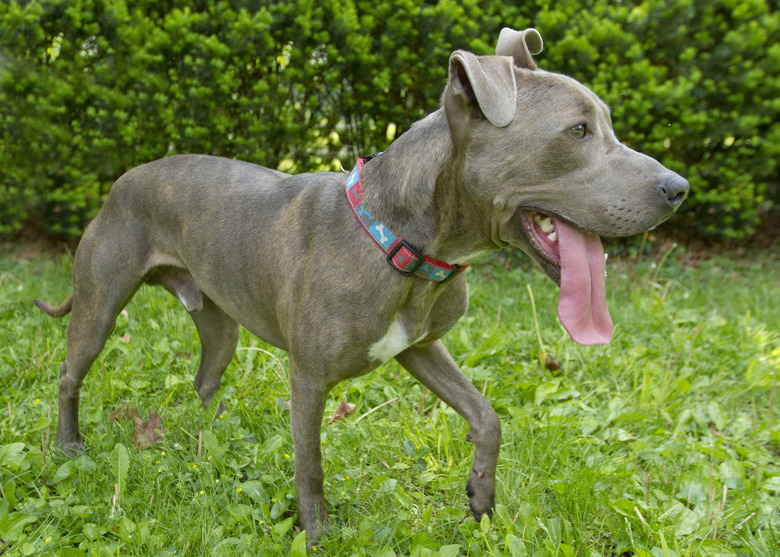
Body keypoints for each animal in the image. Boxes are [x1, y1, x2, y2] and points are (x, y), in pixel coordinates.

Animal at [35, 28, 688, 540]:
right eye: (577, 131)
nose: (678, 188)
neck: (404, 242)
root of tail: (123, 180)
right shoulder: (309, 377)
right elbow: (310, 465)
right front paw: (318, 534)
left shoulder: (421, 348)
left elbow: (486, 415)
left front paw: (480, 496)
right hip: (99, 303)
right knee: (69, 374)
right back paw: (69, 448)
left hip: (220, 324)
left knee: (204, 383)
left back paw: (212, 443)